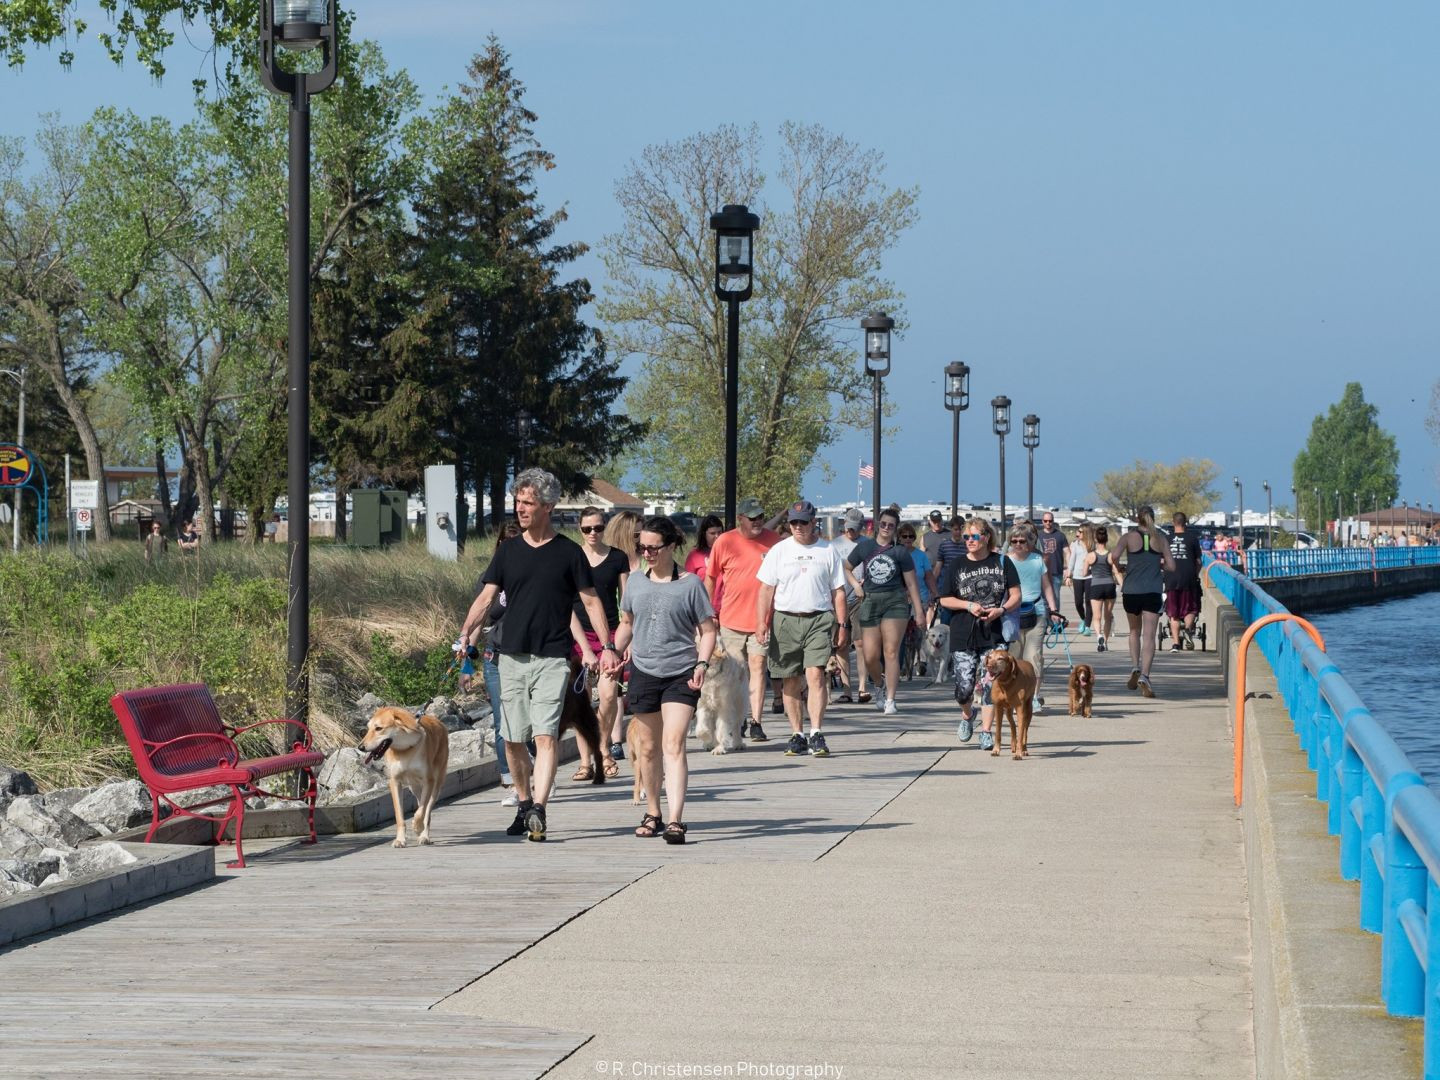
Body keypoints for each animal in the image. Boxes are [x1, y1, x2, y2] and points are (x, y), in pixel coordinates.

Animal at [360, 705, 449, 852]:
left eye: (378, 728)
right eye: (368, 728)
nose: (360, 747)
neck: (405, 749)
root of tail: (438, 721)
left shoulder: (428, 781)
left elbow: (421, 812)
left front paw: (417, 827)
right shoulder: (395, 782)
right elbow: (400, 816)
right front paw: (400, 840)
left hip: (436, 785)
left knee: (427, 810)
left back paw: (424, 835)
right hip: (415, 787)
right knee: (421, 803)